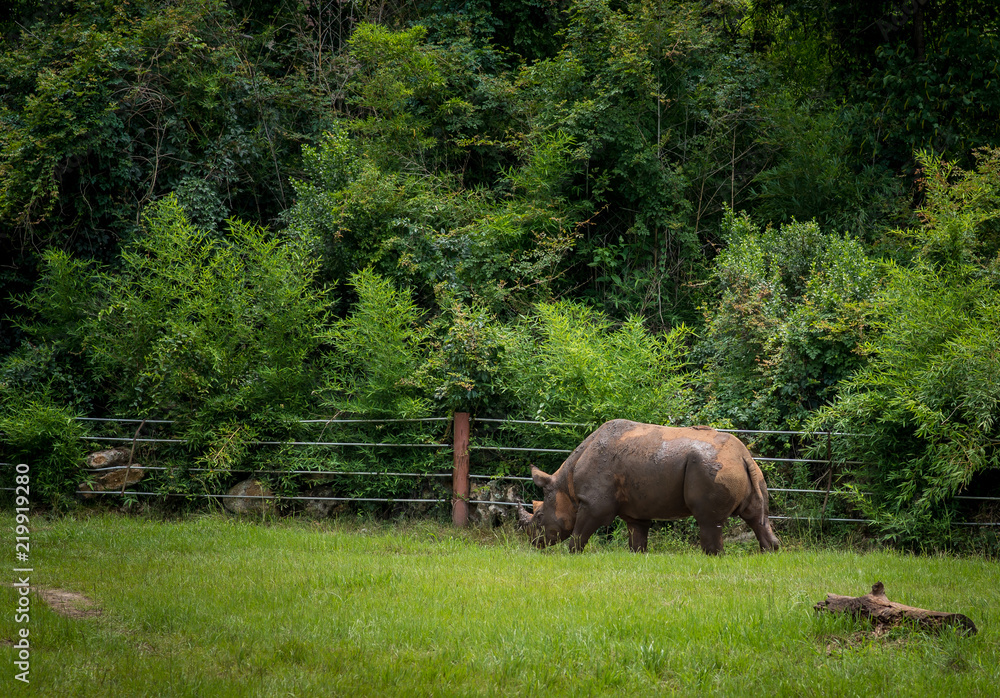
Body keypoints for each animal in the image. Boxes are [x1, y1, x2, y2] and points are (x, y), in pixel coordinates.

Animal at [517, 419, 780, 555]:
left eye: (539, 517)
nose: (534, 544)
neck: (565, 485)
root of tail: (742, 455)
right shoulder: (636, 509)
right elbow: (637, 535)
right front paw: (637, 555)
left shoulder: (594, 504)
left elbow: (580, 533)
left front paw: (572, 554)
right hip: (748, 470)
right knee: (758, 516)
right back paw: (770, 552)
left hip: (710, 466)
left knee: (708, 520)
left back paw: (711, 556)